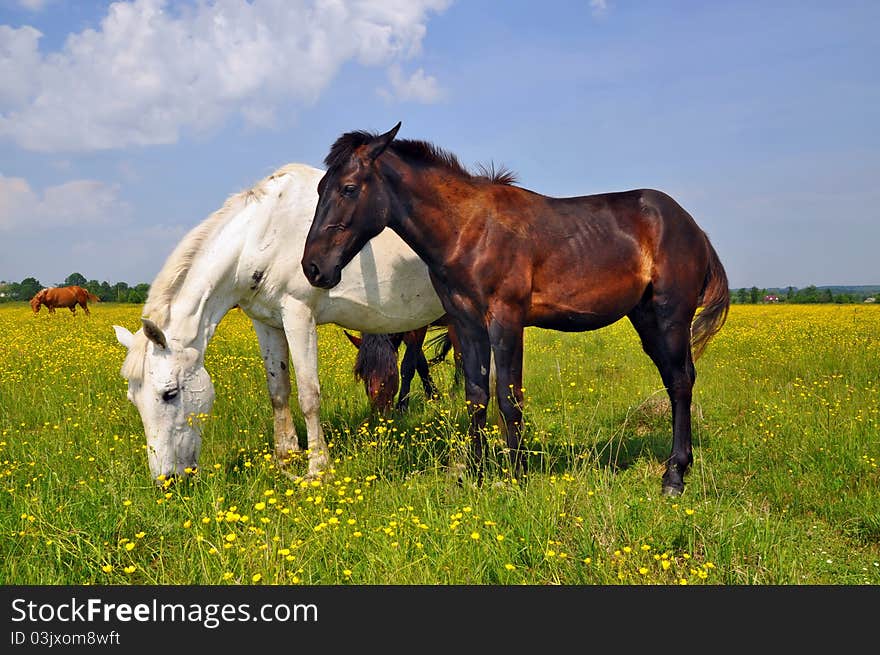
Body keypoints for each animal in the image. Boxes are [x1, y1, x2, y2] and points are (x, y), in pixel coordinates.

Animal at [112, 163, 444, 482]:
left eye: (169, 393)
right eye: (133, 399)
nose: (166, 480)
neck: (262, 236)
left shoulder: (298, 315)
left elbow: (309, 395)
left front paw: (318, 469)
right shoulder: (267, 323)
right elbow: (278, 391)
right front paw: (286, 459)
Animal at [300, 121, 728, 498]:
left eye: (349, 188)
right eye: (320, 188)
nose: (313, 267)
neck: (469, 229)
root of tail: (693, 227)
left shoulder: (505, 320)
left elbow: (508, 397)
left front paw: (515, 475)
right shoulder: (465, 321)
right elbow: (475, 395)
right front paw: (473, 474)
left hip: (670, 316)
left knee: (680, 382)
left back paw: (674, 477)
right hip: (646, 318)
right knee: (676, 379)